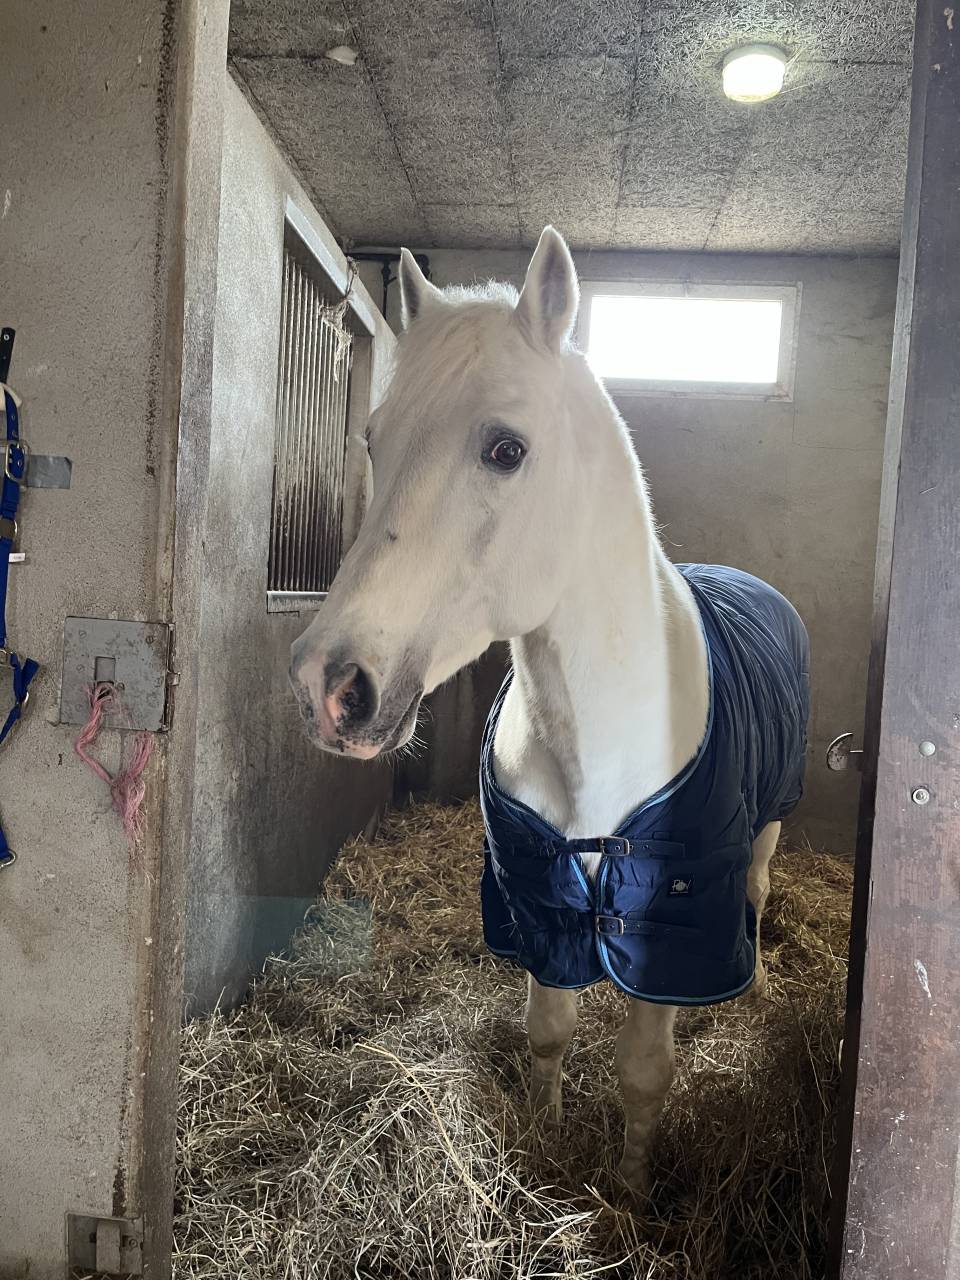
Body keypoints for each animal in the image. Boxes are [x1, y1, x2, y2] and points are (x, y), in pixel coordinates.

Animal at [289, 227, 810, 1194]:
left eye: (506, 449)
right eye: (375, 439)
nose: (327, 685)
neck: (594, 737)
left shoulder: (670, 916)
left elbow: (645, 1072)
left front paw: (632, 1197)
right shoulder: (537, 896)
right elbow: (550, 1033)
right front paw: (546, 1139)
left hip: (766, 826)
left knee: (757, 890)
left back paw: (752, 990)